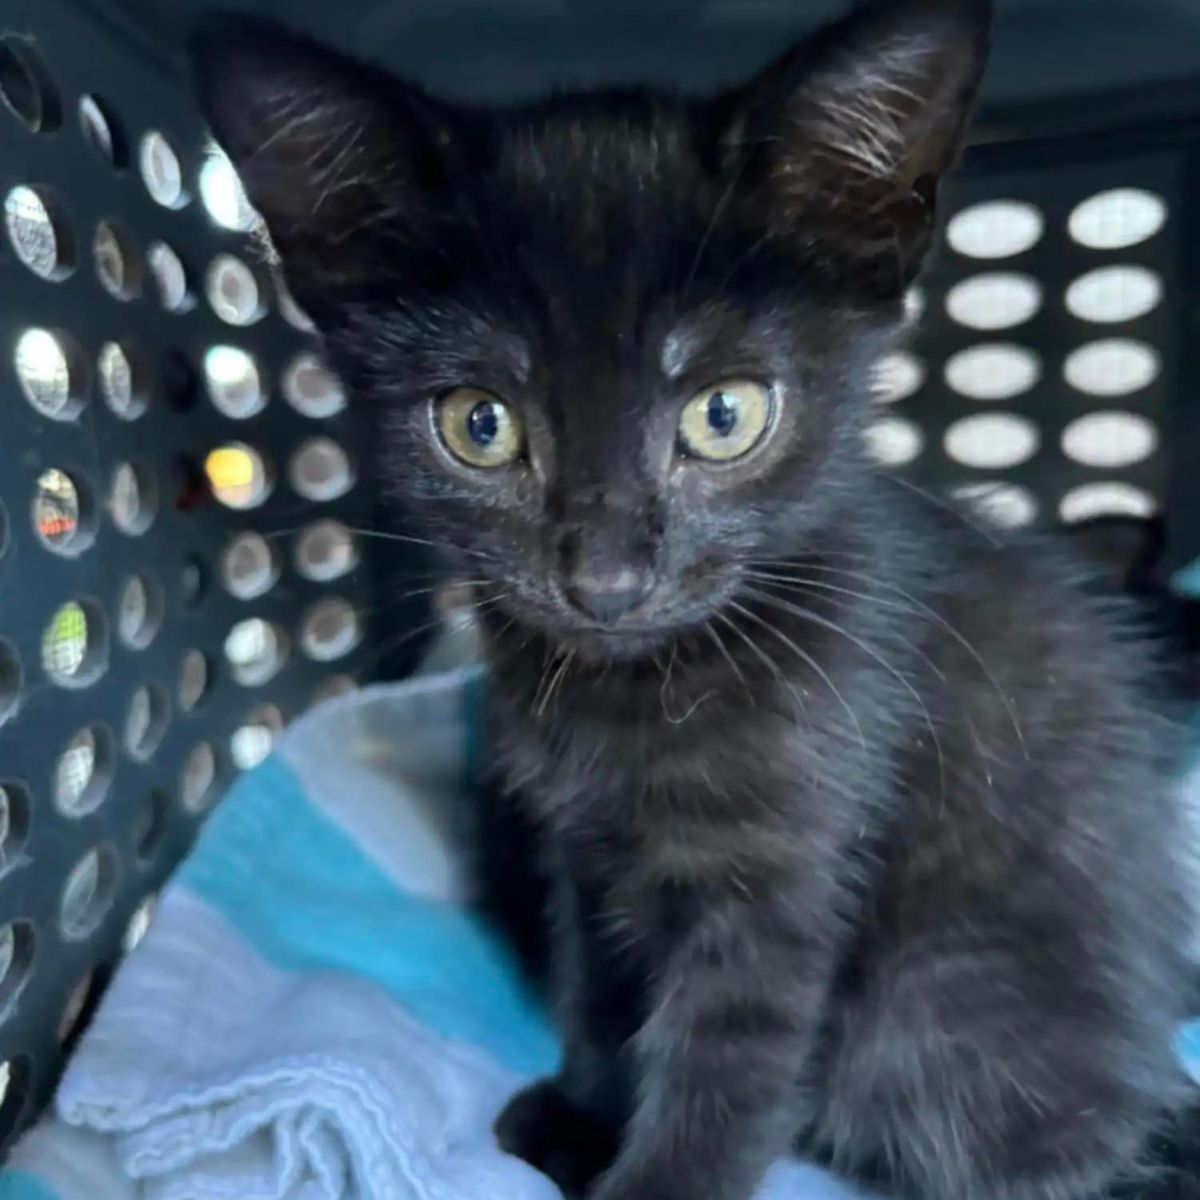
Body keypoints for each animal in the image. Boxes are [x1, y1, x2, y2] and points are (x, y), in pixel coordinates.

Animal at [192, 4, 1195, 1195]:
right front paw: (584, 1113)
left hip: (936, 1002)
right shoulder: (583, 852)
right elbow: (597, 988)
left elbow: (727, 1067)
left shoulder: (785, 871)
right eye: (479, 424)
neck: (637, 697)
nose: (606, 581)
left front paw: (653, 1174)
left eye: (725, 415)